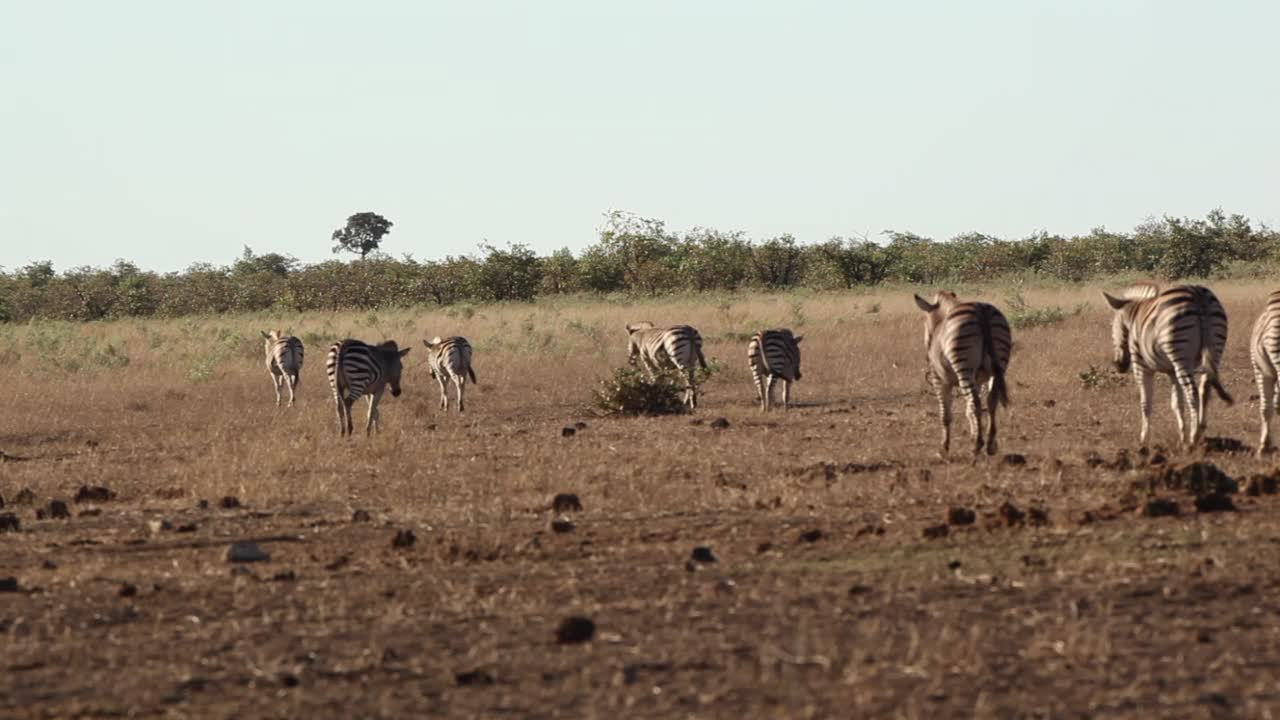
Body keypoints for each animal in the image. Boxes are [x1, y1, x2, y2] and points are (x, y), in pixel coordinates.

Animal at [916, 286, 1013, 450]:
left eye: (924, 322)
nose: (926, 358)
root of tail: (981, 310)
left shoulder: (939, 379)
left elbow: (945, 413)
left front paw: (944, 447)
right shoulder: (978, 380)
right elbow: (969, 409)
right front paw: (974, 434)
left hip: (963, 367)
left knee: (976, 402)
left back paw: (977, 446)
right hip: (998, 366)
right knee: (991, 400)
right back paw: (990, 444)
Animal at [1100, 281, 1228, 445]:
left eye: (1112, 327)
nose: (1118, 365)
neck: (1134, 317)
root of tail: (1197, 294)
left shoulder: (1141, 366)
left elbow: (1145, 402)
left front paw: (1144, 438)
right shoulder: (1172, 371)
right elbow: (1176, 403)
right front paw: (1181, 437)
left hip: (1180, 354)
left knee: (1192, 392)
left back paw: (1194, 436)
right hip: (1214, 351)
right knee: (1204, 390)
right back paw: (1200, 430)